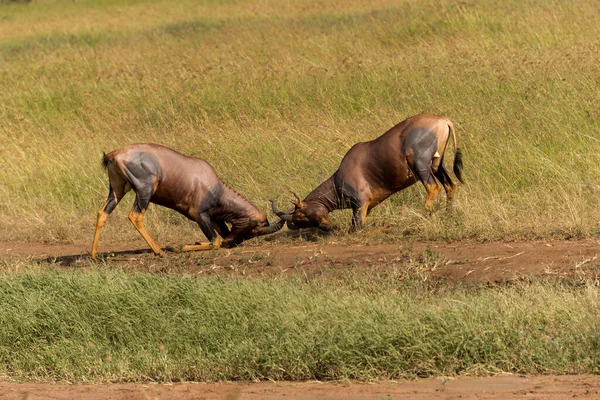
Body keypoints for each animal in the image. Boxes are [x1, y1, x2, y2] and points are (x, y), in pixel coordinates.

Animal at [90, 144, 284, 260]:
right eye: (254, 229)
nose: (231, 243)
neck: (214, 186)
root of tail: (114, 155)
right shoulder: (200, 216)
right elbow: (215, 241)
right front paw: (176, 247)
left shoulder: (215, 218)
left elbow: (218, 237)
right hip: (145, 190)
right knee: (135, 216)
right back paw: (160, 251)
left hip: (117, 190)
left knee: (103, 212)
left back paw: (93, 255)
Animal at [272, 112, 464, 231]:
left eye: (300, 216)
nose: (328, 227)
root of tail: (443, 120)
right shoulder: (368, 207)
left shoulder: (360, 203)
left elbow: (357, 228)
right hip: (436, 164)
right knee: (450, 185)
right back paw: (448, 215)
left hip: (421, 165)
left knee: (433, 188)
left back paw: (418, 217)